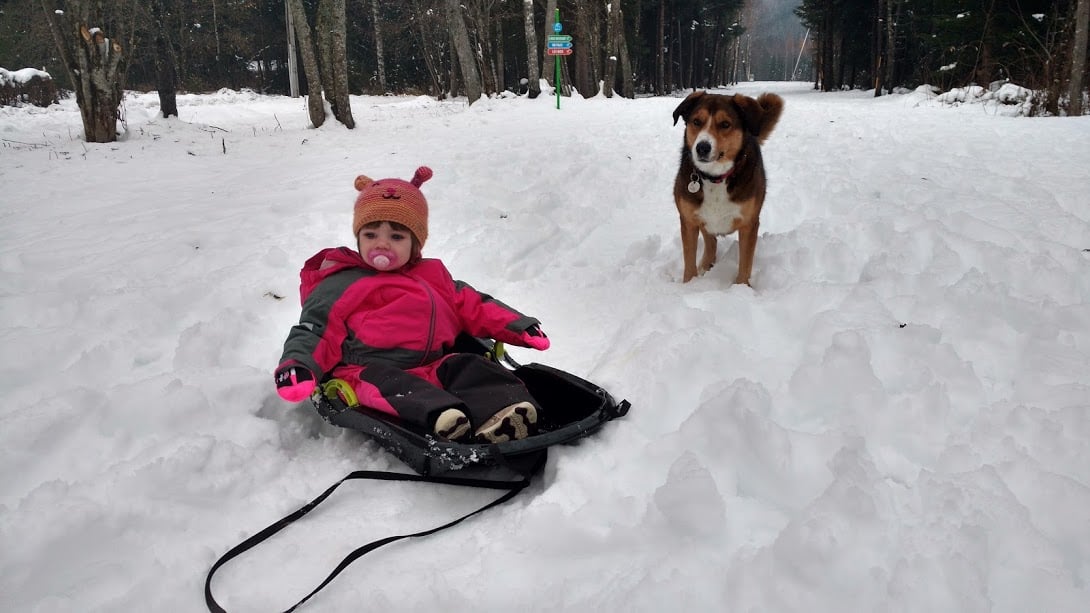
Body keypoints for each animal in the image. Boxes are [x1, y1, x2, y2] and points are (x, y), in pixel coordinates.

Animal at [671, 89, 784, 283]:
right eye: (696, 122)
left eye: (725, 124)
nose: (702, 147)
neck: (715, 178)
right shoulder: (688, 221)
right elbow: (689, 263)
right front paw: (689, 284)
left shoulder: (749, 224)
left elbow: (745, 264)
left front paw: (742, 288)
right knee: (711, 244)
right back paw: (704, 267)